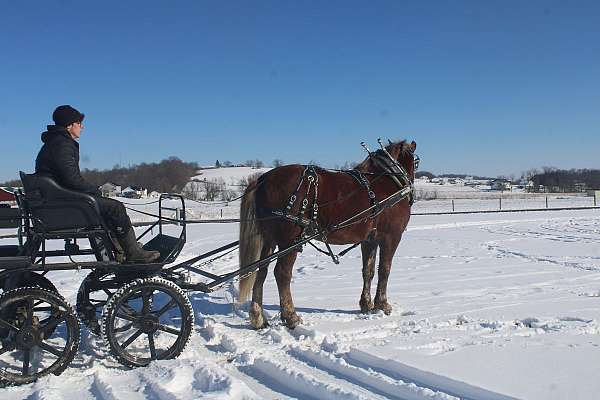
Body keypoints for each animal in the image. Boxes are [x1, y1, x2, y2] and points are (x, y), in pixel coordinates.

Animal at [237, 140, 414, 328]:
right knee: (282, 273)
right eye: (416, 161)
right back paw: (291, 316)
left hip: (268, 240)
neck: (388, 180)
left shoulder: (369, 240)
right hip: (290, 241)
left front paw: (366, 304)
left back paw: (258, 317)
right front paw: (383, 304)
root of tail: (262, 180)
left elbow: (369, 271)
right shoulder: (391, 236)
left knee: (261, 271)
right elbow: (384, 270)